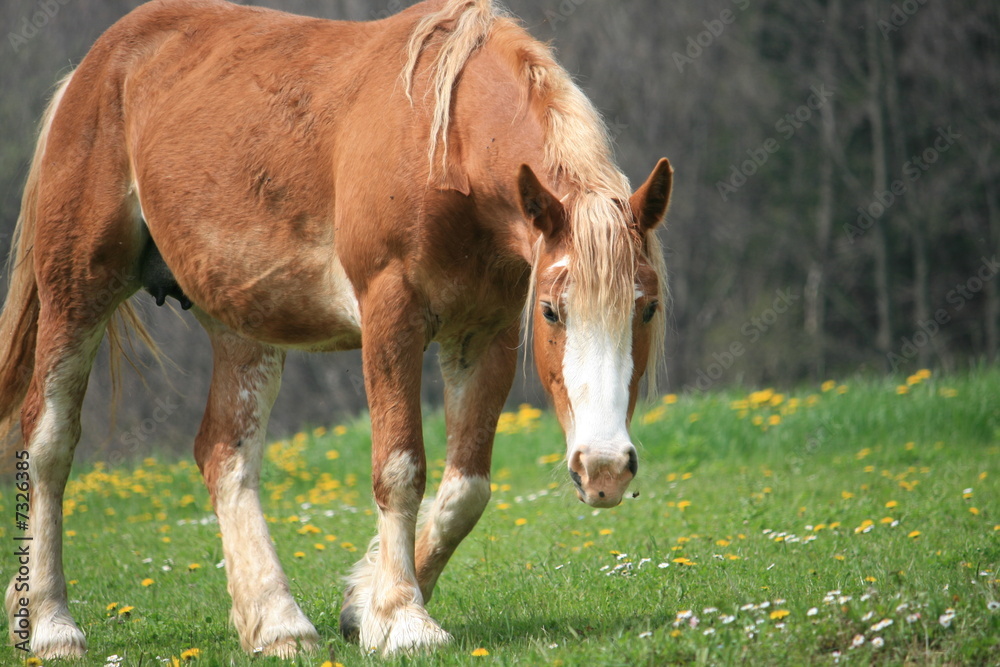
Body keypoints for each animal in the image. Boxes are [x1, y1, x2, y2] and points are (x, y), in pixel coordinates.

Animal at [0, 0, 671, 658]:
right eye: (553, 311)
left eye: (647, 308)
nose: (604, 471)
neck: (442, 146)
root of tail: (90, 72)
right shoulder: (391, 316)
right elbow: (400, 470)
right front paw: (402, 619)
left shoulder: (485, 333)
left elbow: (467, 489)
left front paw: (363, 606)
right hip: (77, 294)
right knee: (49, 442)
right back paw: (51, 623)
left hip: (244, 325)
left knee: (226, 456)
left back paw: (278, 625)